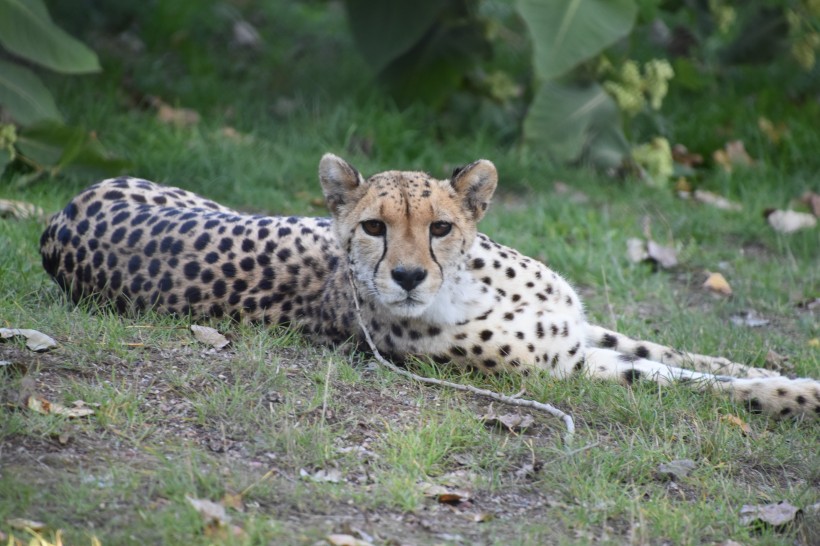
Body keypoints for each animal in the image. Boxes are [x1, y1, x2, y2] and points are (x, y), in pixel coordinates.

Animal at [41, 153, 816, 416]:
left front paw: (782, 370)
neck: (474, 286)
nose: (409, 275)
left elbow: (695, 357)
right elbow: (686, 381)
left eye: (439, 226)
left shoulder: (580, 328)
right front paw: (794, 398)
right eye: (373, 228)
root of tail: (59, 215)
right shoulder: (567, 366)